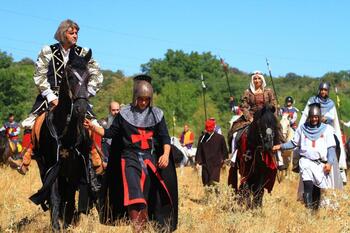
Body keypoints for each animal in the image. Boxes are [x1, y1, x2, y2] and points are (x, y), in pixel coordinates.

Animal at [29, 49, 93, 231]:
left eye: (89, 77)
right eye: (70, 76)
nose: (81, 108)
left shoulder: (75, 168)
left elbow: (70, 198)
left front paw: (66, 223)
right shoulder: (52, 167)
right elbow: (54, 197)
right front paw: (56, 225)